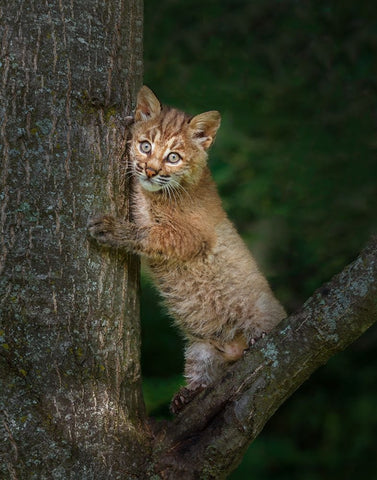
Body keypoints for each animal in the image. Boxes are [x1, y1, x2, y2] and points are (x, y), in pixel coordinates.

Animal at [88, 84, 284, 410]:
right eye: (145, 146)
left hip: (264, 313)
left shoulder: (191, 236)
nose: (150, 170)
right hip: (199, 348)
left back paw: (255, 341)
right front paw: (132, 127)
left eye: (173, 157)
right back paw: (189, 394)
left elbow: (146, 229)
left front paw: (111, 228)